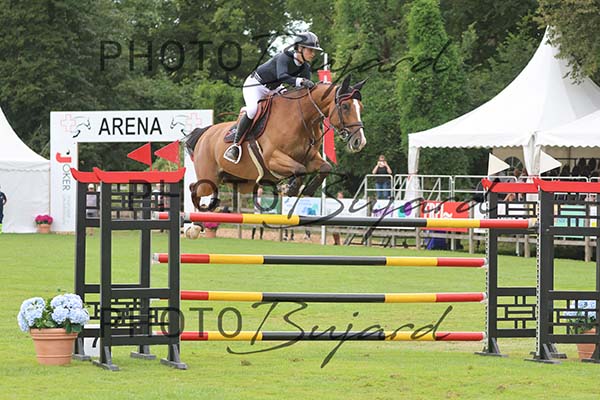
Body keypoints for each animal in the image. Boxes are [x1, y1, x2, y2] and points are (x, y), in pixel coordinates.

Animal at [184, 75, 367, 211]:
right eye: (345, 107)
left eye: (361, 107)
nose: (359, 142)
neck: (302, 119)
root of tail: (204, 133)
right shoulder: (272, 159)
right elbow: (299, 169)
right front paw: (290, 188)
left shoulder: (310, 157)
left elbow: (325, 168)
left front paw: (305, 190)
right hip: (209, 178)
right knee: (195, 188)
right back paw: (195, 225)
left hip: (239, 181)